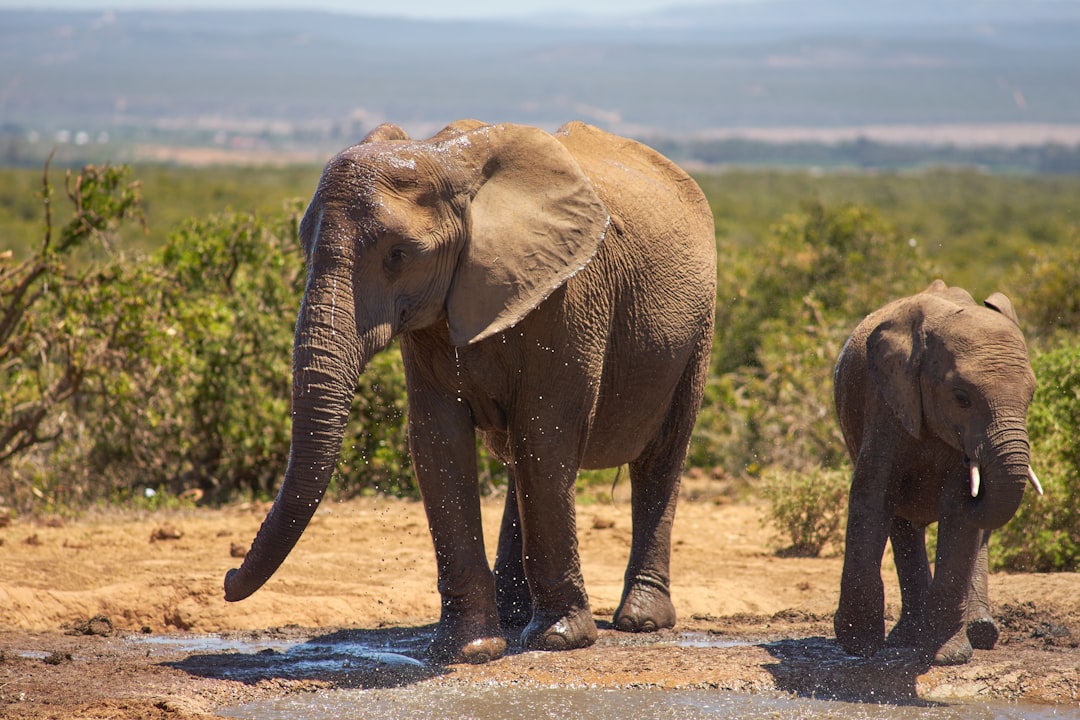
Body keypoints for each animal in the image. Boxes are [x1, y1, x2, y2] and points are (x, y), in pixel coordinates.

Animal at [221, 118, 717, 664]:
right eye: (304, 248)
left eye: (398, 256)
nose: (227, 577)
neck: (444, 158)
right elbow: (439, 440)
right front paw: (470, 650)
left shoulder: (570, 296)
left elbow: (546, 433)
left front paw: (559, 642)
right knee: (523, 462)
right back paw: (516, 616)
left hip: (696, 331)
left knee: (659, 455)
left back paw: (639, 621)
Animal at [829, 280, 1041, 664]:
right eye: (961, 397)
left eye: (1030, 397)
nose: (978, 473)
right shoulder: (887, 403)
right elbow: (872, 496)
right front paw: (860, 645)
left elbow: (959, 512)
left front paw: (947, 657)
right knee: (902, 527)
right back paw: (905, 639)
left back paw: (980, 633)